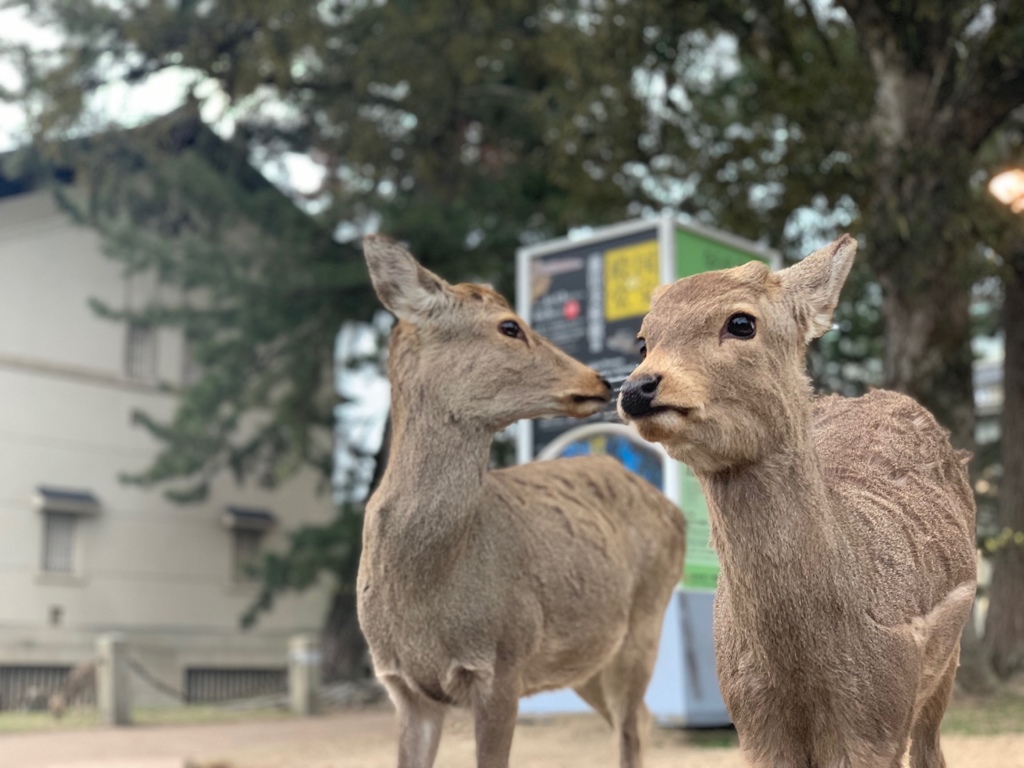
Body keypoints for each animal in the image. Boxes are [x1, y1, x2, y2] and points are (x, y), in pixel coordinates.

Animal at [360, 237, 688, 768]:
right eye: (509, 326)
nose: (600, 380)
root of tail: (675, 511)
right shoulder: (404, 686)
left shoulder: (504, 661)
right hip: (587, 662)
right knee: (639, 719)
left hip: (645, 623)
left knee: (633, 725)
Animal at [614, 236, 974, 768]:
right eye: (644, 340)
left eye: (741, 322)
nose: (637, 387)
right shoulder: (754, 727)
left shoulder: (879, 726)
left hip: (946, 665)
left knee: (932, 750)